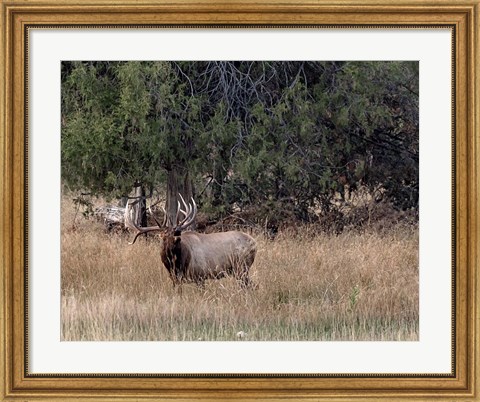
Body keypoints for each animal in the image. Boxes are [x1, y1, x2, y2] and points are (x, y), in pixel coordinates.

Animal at [125, 196, 256, 288]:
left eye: (176, 232)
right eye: (165, 235)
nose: (177, 236)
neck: (177, 265)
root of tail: (255, 243)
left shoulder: (200, 275)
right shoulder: (175, 279)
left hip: (241, 267)